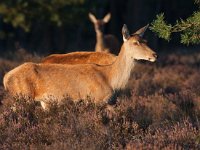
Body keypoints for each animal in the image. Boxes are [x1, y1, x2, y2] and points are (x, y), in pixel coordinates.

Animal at [2, 23, 156, 110]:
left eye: (146, 40)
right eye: (135, 43)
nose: (155, 54)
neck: (110, 78)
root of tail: (5, 78)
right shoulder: (96, 99)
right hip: (23, 96)